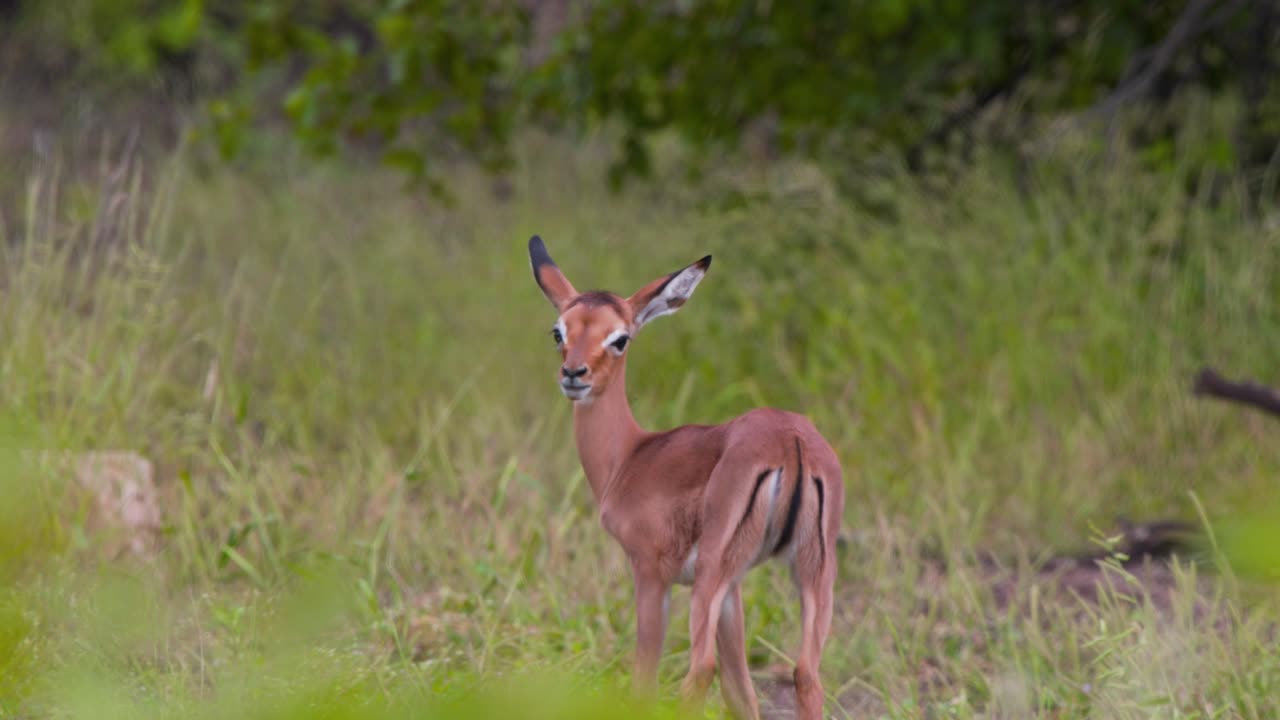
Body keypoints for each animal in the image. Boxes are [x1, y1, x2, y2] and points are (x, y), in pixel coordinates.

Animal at [527, 236, 844, 720]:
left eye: (620, 338)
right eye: (559, 331)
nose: (574, 374)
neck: (631, 457)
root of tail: (791, 442)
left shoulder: (651, 573)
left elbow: (645, 679)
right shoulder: (733, 592)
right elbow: (741, 691)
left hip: (715, 572)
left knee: (700, 671)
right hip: (811, 571)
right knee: (806, 674)